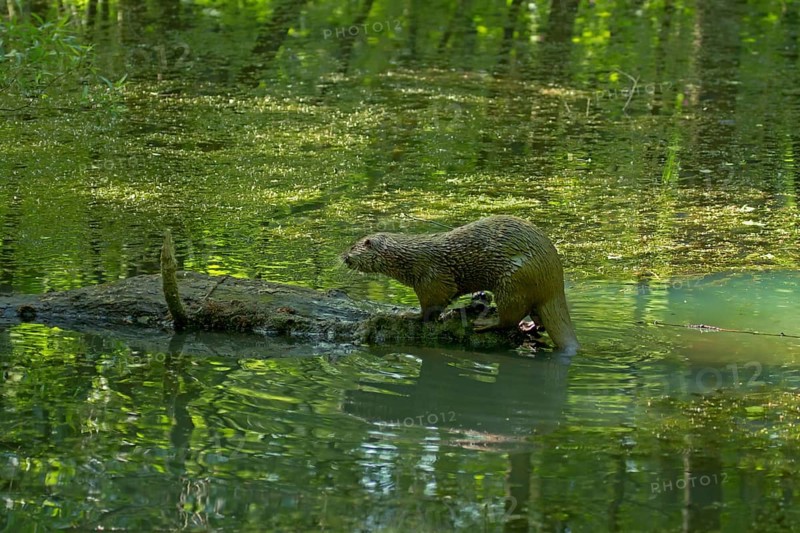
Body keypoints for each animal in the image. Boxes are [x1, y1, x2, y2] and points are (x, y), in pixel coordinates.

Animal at [342, 215, 580, 353]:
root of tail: (554, 281)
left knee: (510, 317)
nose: (343, 257)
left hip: (513, 281)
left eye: (352, 247)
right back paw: (530, 326)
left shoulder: (432, 278)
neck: (408, 259)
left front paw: (408, 315)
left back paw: (486, 322)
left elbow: (430, 307)